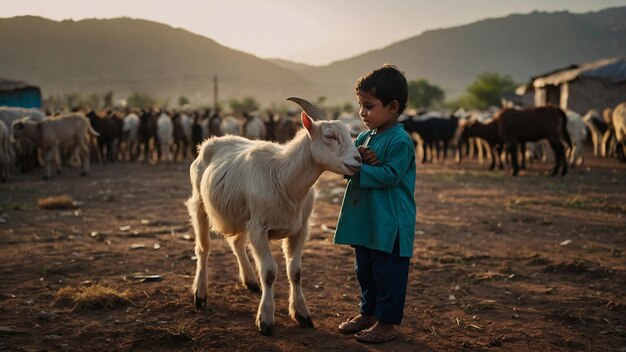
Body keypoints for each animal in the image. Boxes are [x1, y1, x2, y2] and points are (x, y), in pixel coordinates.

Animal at [185, 96, 360, 336]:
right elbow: (269, 272)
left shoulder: (299, 229)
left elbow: (295, 271)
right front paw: (265, 319)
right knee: (203, 248)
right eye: (330, 136)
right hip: (200, 203)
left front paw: (302, 314)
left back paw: (250, 281)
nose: (358, 161)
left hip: (243, 214)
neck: (283, 177)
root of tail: (211, 142)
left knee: (236, 242)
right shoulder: (260, 228)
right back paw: (200, 294)